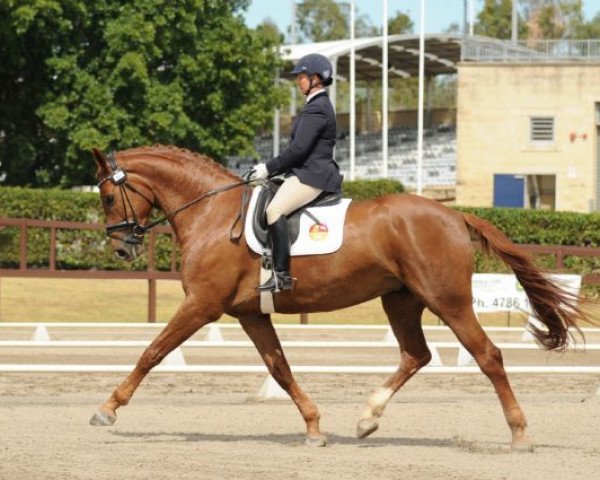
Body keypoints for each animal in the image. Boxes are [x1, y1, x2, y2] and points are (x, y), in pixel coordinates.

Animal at [89, 146, 592, 450]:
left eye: (108, 196)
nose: (121, 248)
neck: (211, 213)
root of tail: (453, 214)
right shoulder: (250, 314)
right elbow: (280, 368)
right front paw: (314, 427)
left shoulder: (202, 305)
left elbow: (153, 352)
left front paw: (106, 410)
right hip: (401, 299)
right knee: (416, 354)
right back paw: (367, 419)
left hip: (446, 299)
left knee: (487, 355)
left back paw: (520, 434)